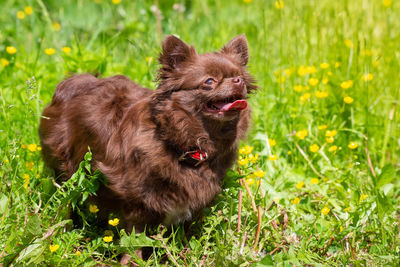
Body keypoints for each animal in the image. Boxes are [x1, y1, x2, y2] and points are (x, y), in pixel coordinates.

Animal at [38, 35, 256, 234]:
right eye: (209, 81)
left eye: (240, 77)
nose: (238, 81)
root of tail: (74, 80)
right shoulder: (139, 202)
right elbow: (136, 238)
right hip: (67, 171)